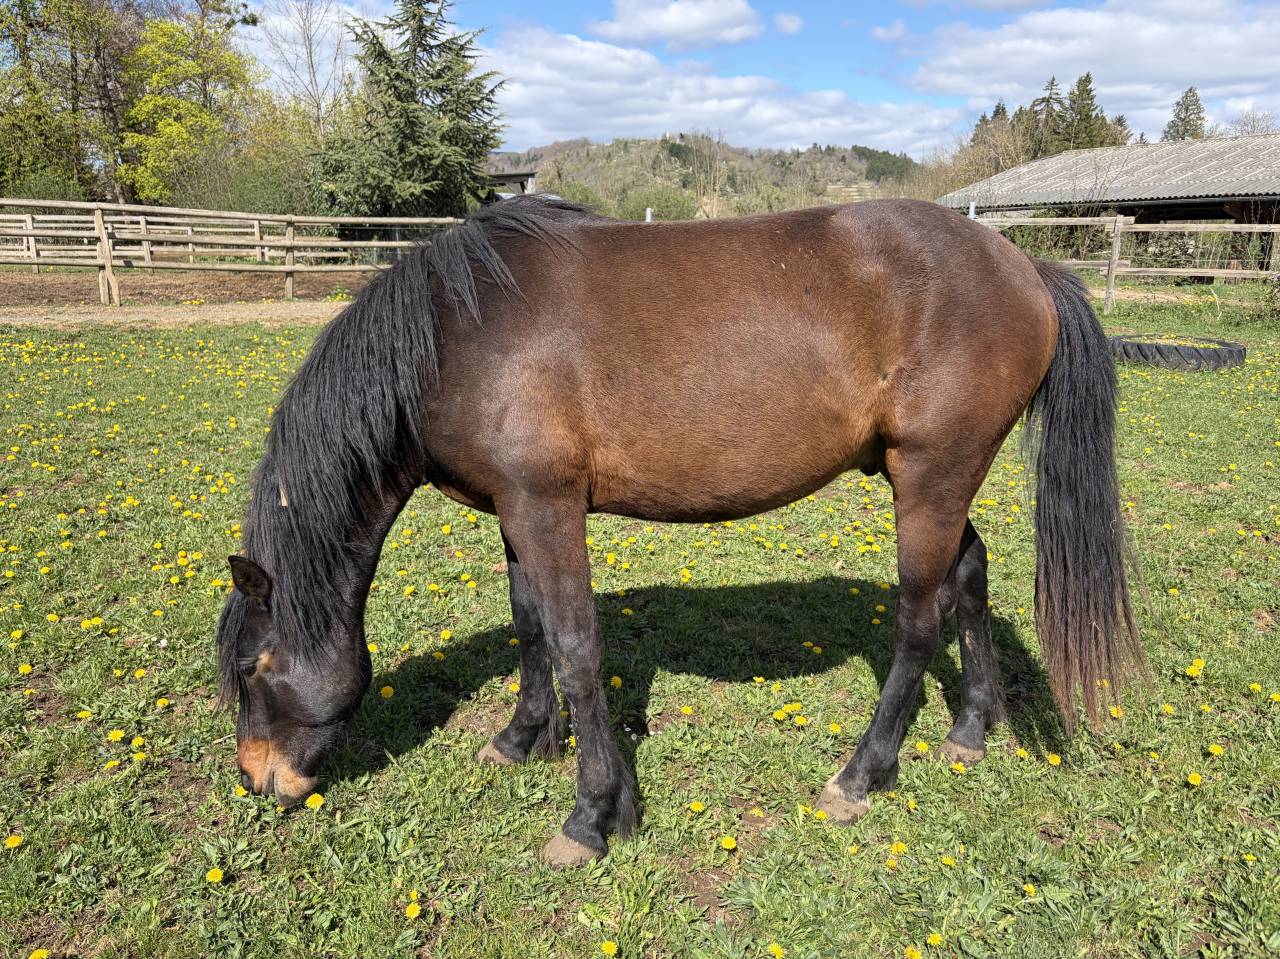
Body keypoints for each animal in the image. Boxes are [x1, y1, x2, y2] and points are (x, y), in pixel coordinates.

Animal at [216, 196, 1142, 866]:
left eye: (257, 668)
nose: (261, 781)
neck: (459, 333)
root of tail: (1026, 266)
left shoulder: (550, 508)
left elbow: (577, 646)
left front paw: (593, 814)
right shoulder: (515, 511)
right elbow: (530, 627)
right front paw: (521, 738)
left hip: (931, 475)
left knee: (918, 619)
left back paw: (860, 775)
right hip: (927, 475)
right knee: (971, 576)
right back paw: (971, 729)